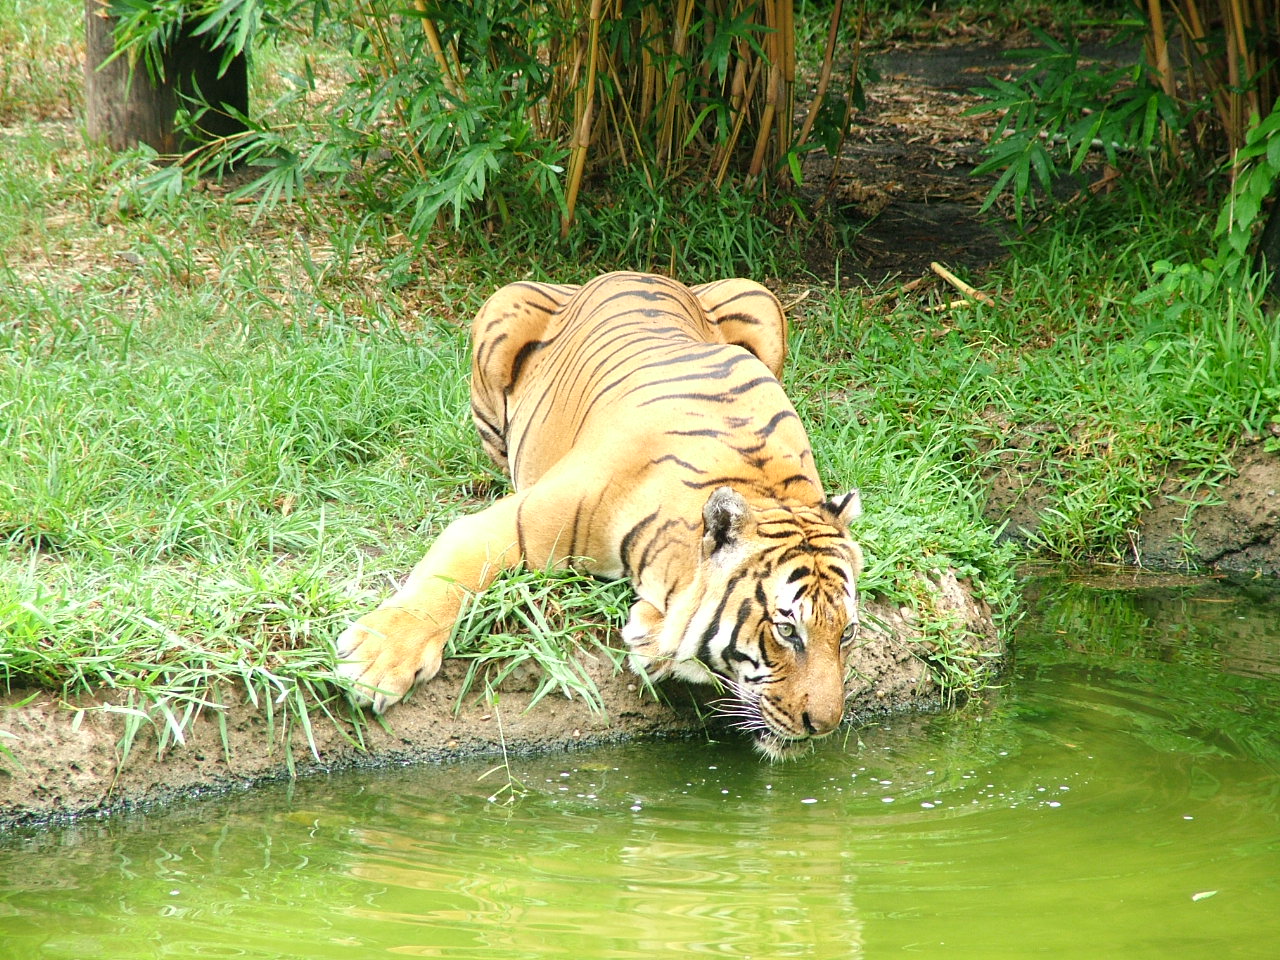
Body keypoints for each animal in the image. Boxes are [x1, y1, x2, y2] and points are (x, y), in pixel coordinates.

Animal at [336, 271, 864, 758]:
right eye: (785, 630)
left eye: (847, 633)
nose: (824, 725)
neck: (762, 486)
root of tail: (631, 271)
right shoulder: (515, 519)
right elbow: (449, 575)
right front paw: (375, 662)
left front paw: (651, 638)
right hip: (501, 313)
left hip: (758, 298)